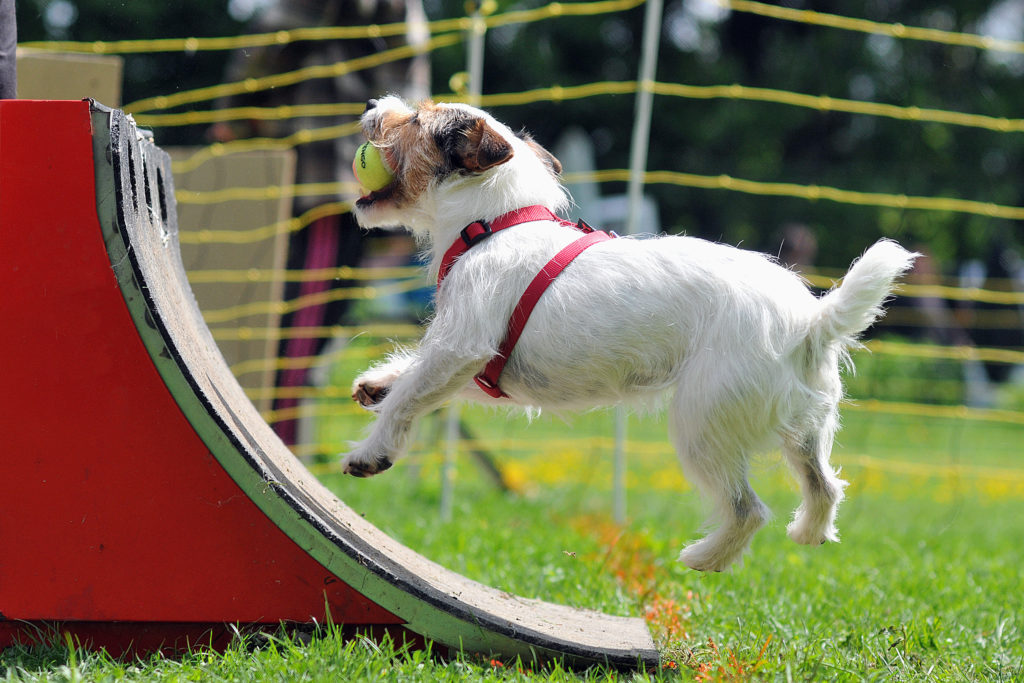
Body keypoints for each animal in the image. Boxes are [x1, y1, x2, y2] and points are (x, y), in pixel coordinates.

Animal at [339, 96, 917, 573]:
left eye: (415, 120)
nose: (369, 104)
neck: (495, 220)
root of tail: (812, 321)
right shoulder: (480, 368)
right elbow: (416, 379)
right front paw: (380, 382)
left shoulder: (463, 347)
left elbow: (410, 399)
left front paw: (372, 450)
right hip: (806, 428)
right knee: (825, 485)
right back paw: (809, 531)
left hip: (701, 424)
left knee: (748, 510)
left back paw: (704, 558)